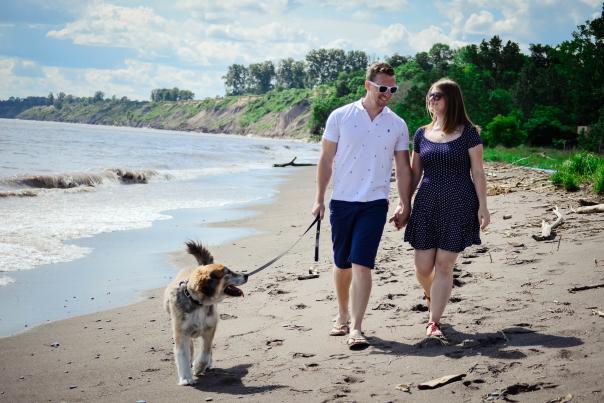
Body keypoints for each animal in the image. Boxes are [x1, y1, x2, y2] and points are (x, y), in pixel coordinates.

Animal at [164, 241, 247, 386]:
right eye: (227, 273)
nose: (246, 275)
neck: (198, 303)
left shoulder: (209, 328)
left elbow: (205, 352)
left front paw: (198, 367)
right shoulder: (181, 332)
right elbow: (183, 354)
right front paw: (186, 378)